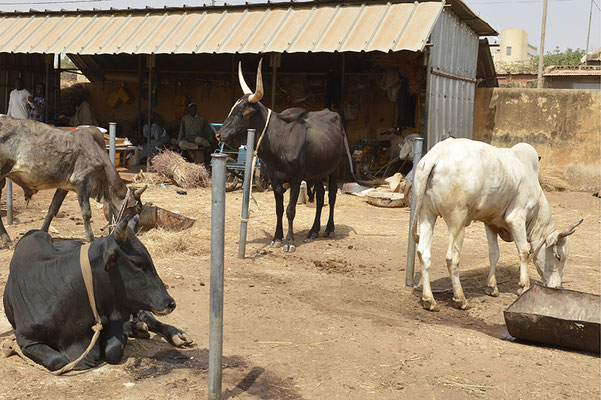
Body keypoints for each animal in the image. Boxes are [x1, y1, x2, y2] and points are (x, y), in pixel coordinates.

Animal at [2, 216, 190, 372]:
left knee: (146, 316)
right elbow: (57, 361)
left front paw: (123, 335)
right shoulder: (25, 338)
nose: (170, 303)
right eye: (136, 262)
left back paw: (174, 334)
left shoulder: (113, 315)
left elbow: (113, 350)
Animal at [410, 139, 580, 310]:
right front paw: (523, 286)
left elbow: (494, 254)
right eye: (558, 257)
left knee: (424, 253)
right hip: (457, 220)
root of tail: (436, 155)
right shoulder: (516, 218)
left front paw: (492, 287)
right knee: (452, 258)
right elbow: (524, 251)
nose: (556, 287)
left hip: (427, 215)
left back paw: (429, 300)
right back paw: (461, 299)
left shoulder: (490, 222)